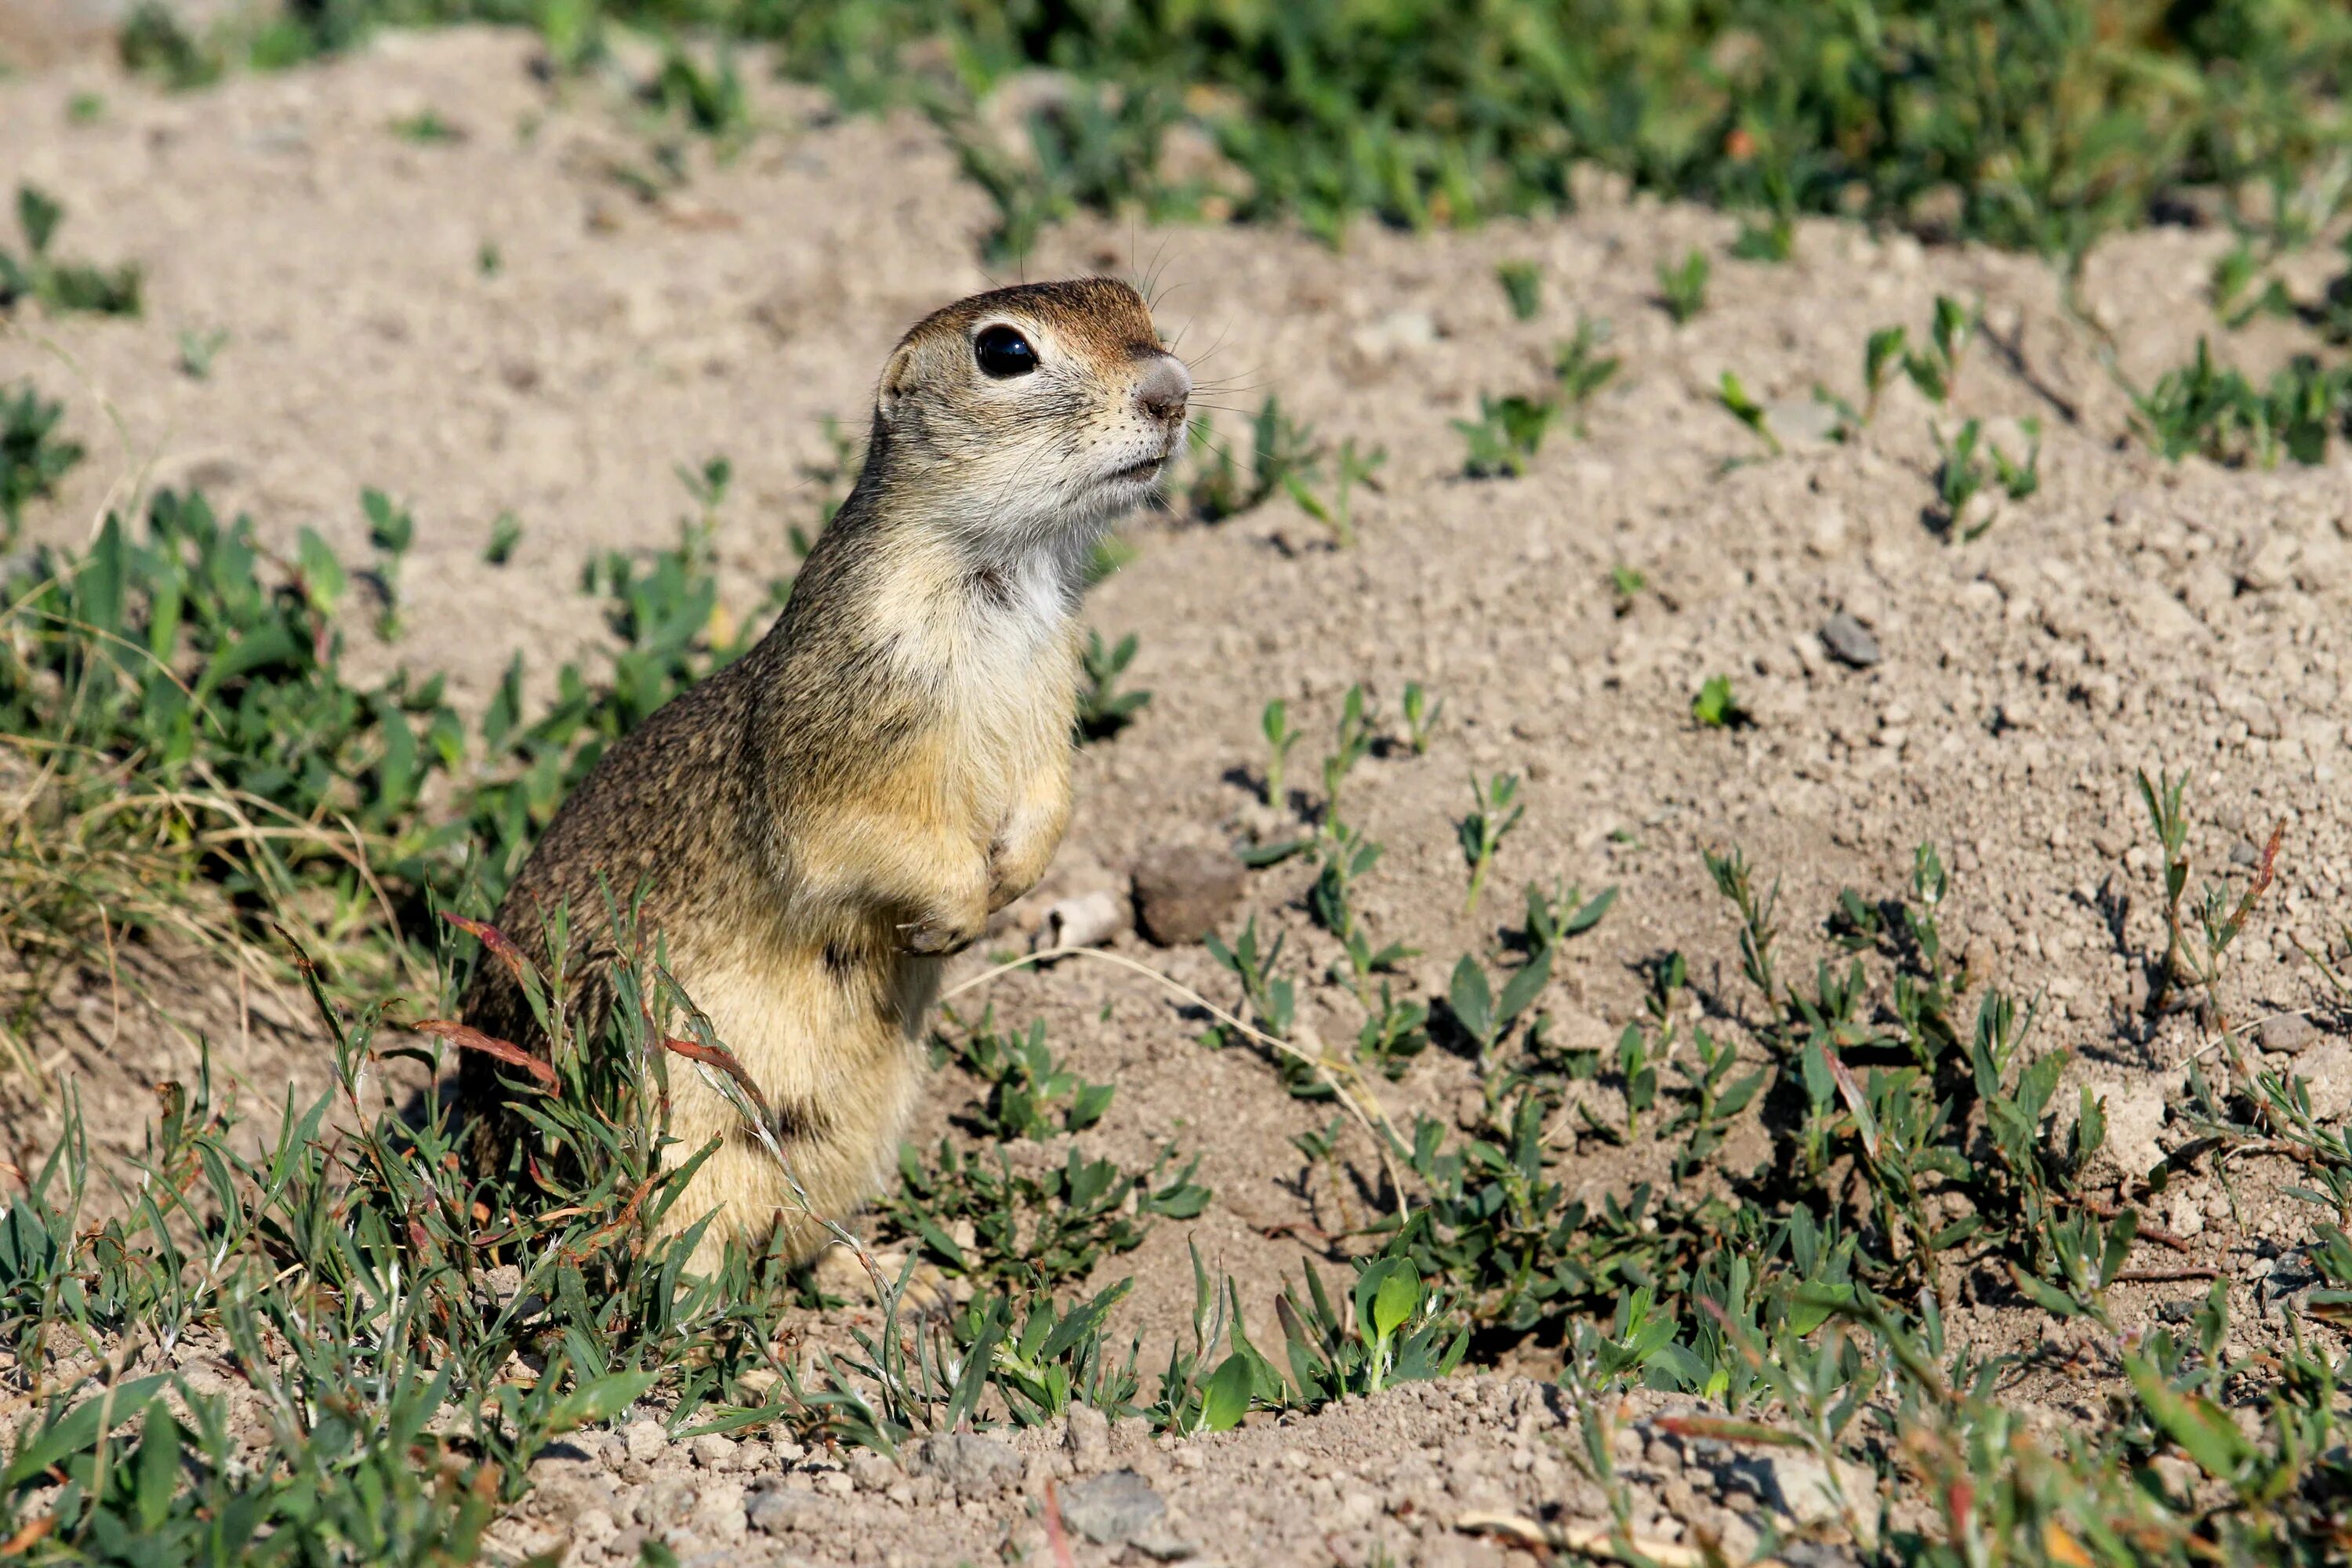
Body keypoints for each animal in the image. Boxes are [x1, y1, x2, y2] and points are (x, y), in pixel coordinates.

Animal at [459, 276, 1195, 1269]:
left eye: (1133, 303)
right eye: (1004, 352)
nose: (1173, 390)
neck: (1006, 582)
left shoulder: (1050, 704)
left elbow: (1050, 799)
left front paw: (1015, 876)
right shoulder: (836, 746)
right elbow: (863, 836)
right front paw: (955, 914)